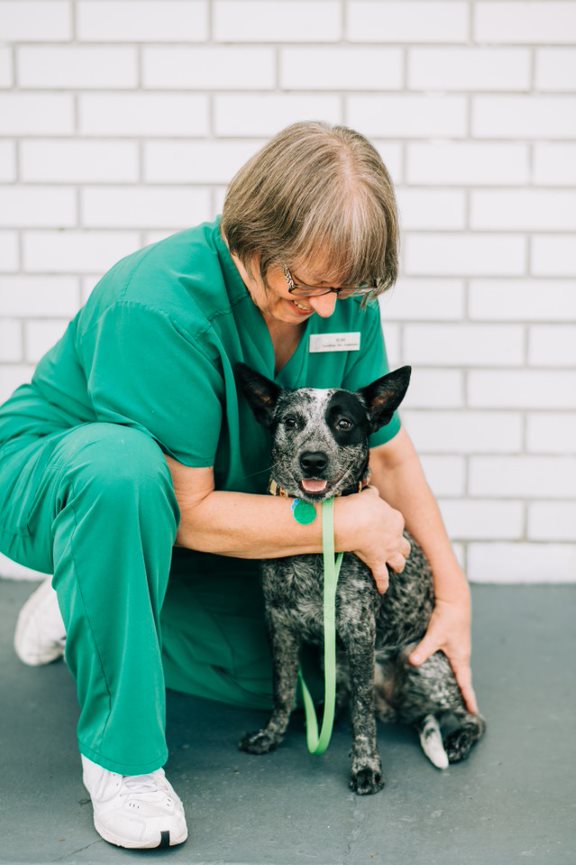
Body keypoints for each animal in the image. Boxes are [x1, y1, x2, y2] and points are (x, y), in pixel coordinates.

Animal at [235, 362, 486, 792]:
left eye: (344, 423)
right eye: (291, 421)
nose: (313, 460)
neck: (318, 533)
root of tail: (398, 708)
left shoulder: (358, 629)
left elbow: (363, 714)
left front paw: (365, 766)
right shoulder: (279, 624)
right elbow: (282, 689)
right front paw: (272, 734)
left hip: (422, 663)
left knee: (474, 716)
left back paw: (459, 738)